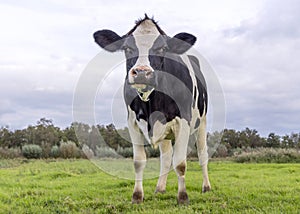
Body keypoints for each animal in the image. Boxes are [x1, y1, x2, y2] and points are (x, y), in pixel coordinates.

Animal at [94, 14, 211, 205]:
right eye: (127, 48)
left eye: (162, 48)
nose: (142, 72)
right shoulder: (132, 122)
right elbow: (139, 161)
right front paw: (137, 196)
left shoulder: (184, 121)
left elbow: (180, 163)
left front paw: (183, 197)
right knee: (166, 157)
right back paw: (160, 188)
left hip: (202, 123)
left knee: (202, 155)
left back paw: (206, 187)